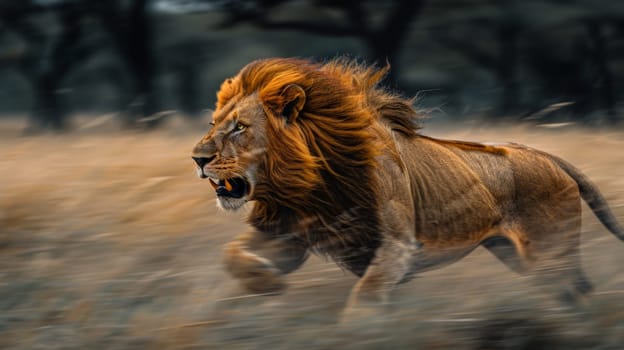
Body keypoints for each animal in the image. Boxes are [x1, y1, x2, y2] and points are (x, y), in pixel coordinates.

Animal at [191, 57, 624, 318]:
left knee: (572, 289)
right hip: (516, 253)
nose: (197, 158)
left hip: (548, 252)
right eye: (214, 123)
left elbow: (364, 300)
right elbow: (233, 255)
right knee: (571, 290)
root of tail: (549, 156)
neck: (309, 184)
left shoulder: (397, 245)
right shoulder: (292, 235)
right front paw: (267, 284)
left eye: (240, 128)